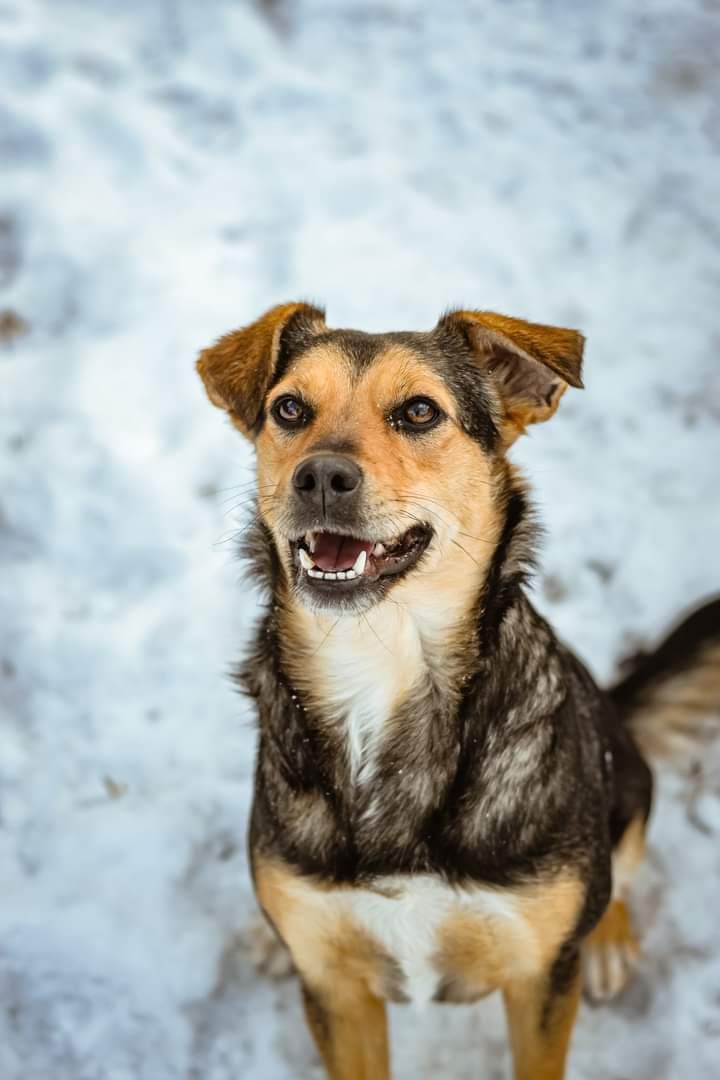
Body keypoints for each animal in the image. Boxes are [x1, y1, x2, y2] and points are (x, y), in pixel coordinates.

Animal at [197, 304, 720, 1080]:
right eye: (288, 409)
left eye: (419, 411)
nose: (319, 476)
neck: (380, 665)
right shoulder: (336, 992)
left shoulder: (539, 979)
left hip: (627, 789)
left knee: (620, 869)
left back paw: (607, 939)